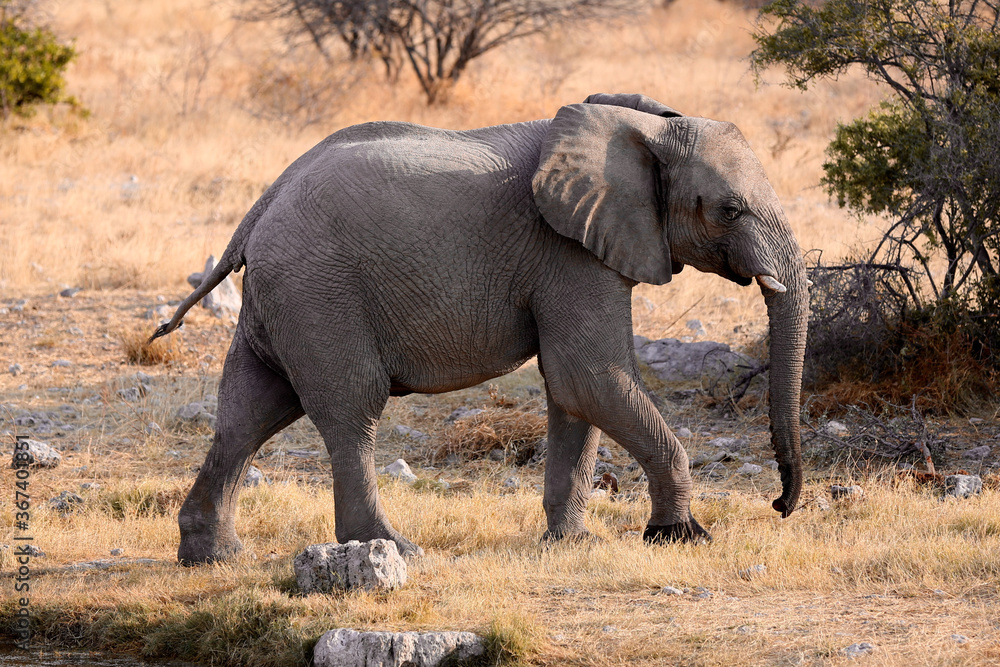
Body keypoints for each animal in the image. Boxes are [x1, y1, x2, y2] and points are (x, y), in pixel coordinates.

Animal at [151, 92, 808, 564]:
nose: (780, 505)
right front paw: (681, 536)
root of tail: (260, 207)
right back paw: (394, 549)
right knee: (351, 410)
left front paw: (573, 545)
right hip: (319, 291)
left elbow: (573, 394)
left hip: (284, 298)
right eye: (729, 211)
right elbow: (588, 376)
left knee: (250, 412)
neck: (646, 124)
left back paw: (212, 557)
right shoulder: (567, 252)